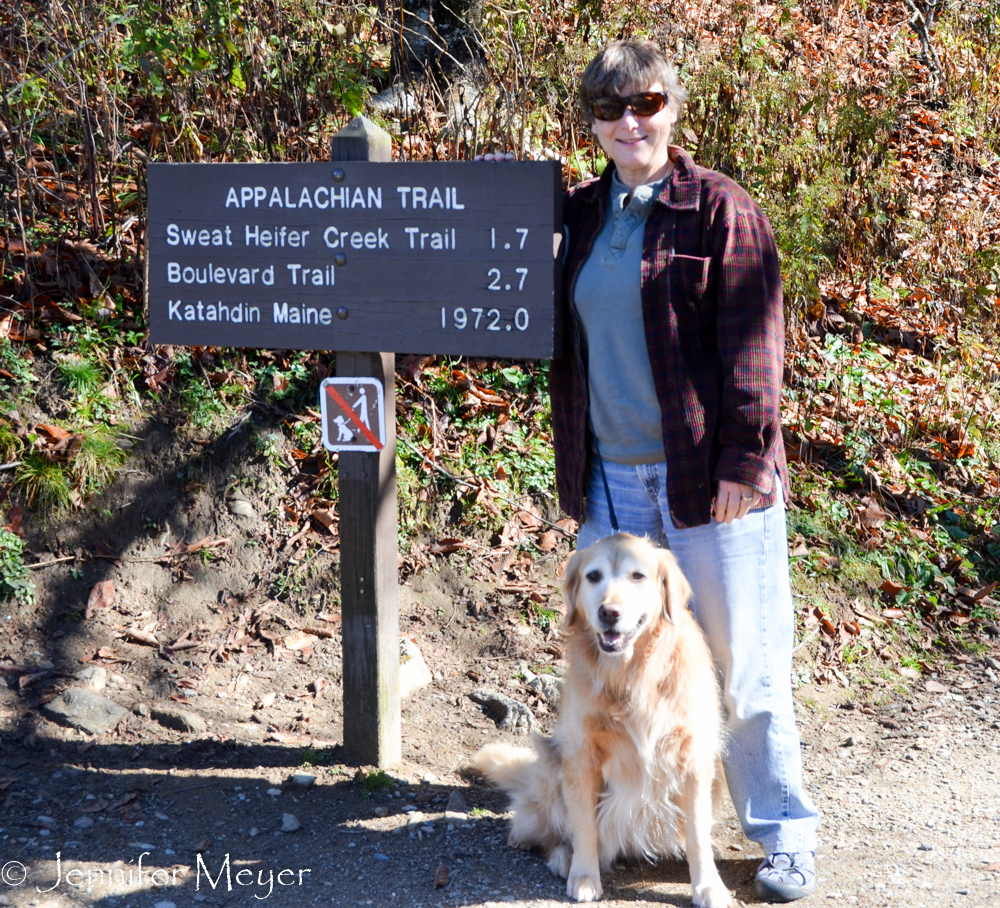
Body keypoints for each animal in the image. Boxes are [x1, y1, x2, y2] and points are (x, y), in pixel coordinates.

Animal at [472, 532, 732, 908]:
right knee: (548, 831)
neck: (632, 673)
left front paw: (708, 885)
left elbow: (698, 829)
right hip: (552, 766)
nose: (609, 612)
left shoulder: (695, 757)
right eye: (593, 576)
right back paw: (563, 857)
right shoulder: (581, 756)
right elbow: (584, 826)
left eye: (637, 576)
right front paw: (584, 875)